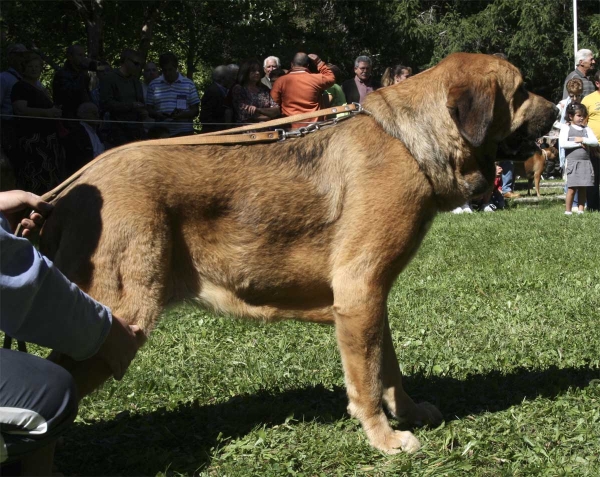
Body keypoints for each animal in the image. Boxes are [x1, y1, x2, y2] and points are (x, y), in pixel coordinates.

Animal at [41, 54, 556, 452]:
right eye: (522, 89)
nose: (556, 110)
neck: (411, 143)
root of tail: (69, 190)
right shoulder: (359, 290)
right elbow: (368, 381)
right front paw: (385, 439)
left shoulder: (370, 302)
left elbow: (389, 370)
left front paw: (407, 412)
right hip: (120, 317)